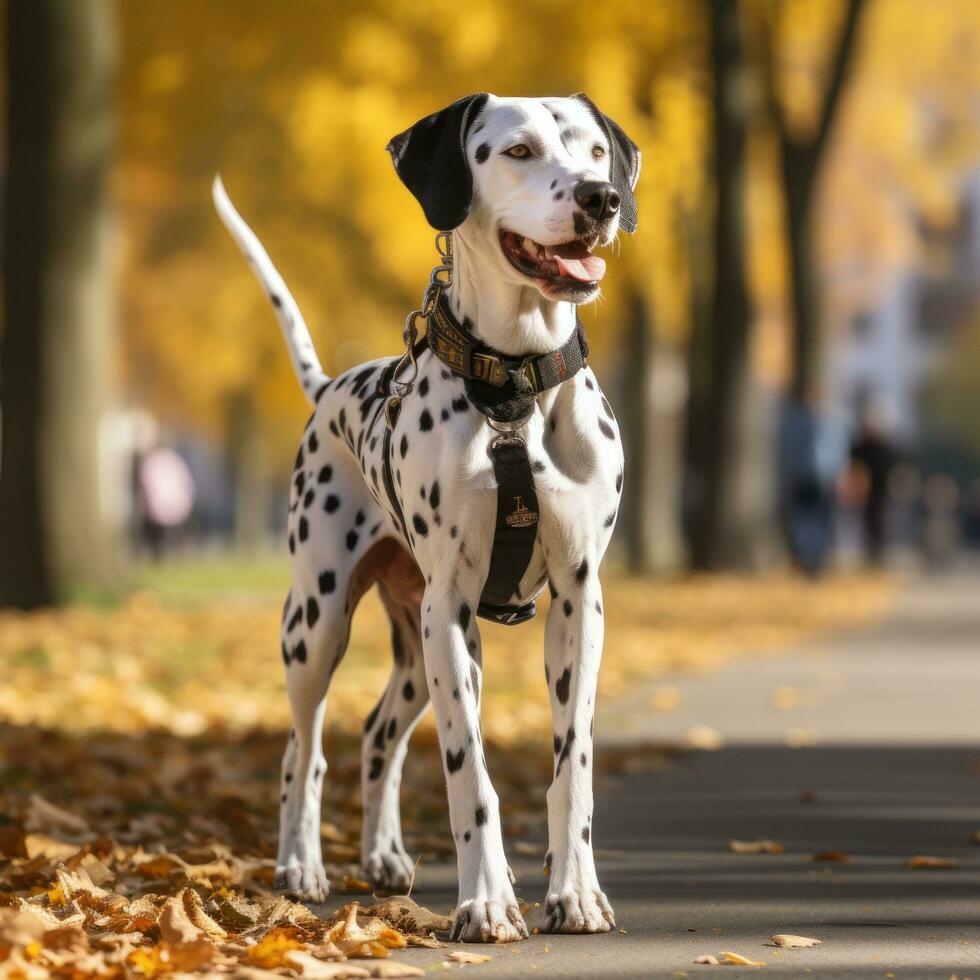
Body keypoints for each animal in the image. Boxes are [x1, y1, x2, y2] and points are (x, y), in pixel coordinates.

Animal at [213, 92, 640, 940]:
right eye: (517, 151)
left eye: (593, 152)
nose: (599, 199)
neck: (514, 384)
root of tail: (330, 388)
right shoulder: (449, 609)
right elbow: (470, 774)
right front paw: (485, 902)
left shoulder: (578, 603)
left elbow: (570, 767)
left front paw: (573, 890)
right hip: (320, 626)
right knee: (305, 750)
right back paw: (300, 866)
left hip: (422, 652)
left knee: (380, 733)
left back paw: (384, 856)